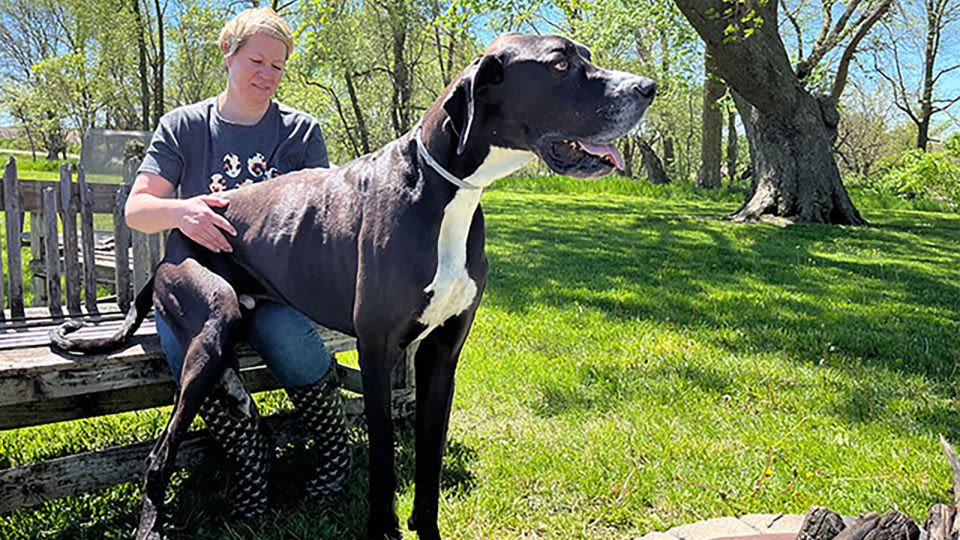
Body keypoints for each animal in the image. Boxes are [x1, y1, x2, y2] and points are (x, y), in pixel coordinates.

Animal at [52, 34, 652, 540]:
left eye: (585, 56)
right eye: (560, 64)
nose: (647, 88)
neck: (446, 191)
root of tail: (170, 247)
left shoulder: (441, 354)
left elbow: (429, 457)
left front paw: (426, 528)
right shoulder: (378, 349)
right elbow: (385, 455)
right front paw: (383, 528)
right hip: (212, 314)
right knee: (162, 450)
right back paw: (152, 523)